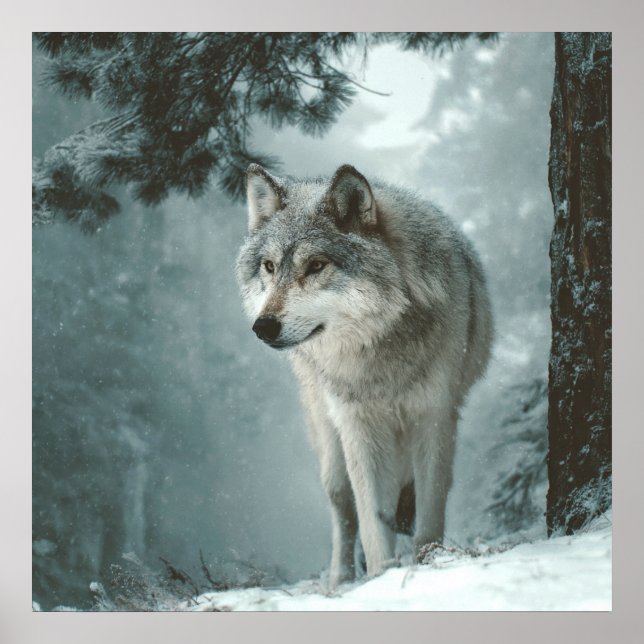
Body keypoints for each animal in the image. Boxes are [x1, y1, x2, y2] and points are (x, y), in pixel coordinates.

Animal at [236, 163, 493, 588]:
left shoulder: (435, 417)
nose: (263, 327)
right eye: (269, 267)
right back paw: (339, 579)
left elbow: (430, 512)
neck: (379, 352)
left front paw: (427, 562)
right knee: (343, 508)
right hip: (328, 439)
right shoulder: (358, 424)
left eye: (316, 266)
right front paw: (381, 576)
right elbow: (371, 518)